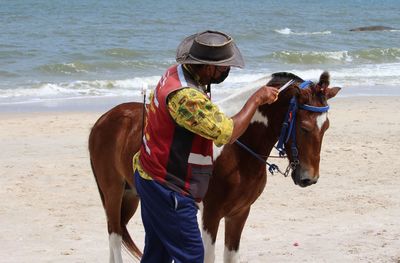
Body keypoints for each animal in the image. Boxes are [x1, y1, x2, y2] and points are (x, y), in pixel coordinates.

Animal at [88, 71, 340, 262]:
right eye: (304, 127)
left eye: (326, 127)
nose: (309, 178)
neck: (236, 149)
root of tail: (104, 119)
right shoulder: (211, 215)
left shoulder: (239, 213)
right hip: (113, 192)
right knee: (114, 236)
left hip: (131, 196)